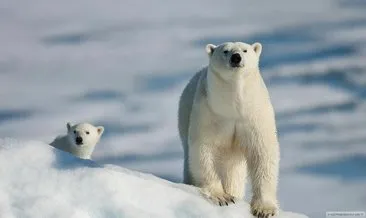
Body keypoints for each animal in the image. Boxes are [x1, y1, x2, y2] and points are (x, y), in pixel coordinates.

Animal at [178, 41, 280, 217]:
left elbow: (262, 152)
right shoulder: (210, 112)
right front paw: (222, 197)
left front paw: (264, 209)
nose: (236, 57)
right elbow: (204, 149)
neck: (233, 107)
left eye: (245, 50)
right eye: (225, 51)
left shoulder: (254, 115)